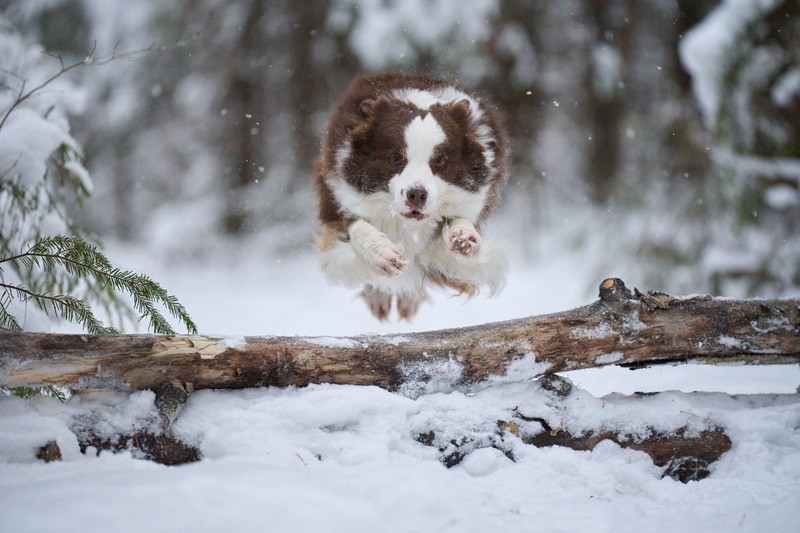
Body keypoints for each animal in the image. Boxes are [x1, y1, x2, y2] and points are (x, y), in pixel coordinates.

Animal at [312, 72, 506, 318]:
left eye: (439, 161)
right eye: (396, 158)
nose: (417, 195)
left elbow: (455, 226)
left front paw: (464, 236)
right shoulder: (336, 201)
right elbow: (356, 226)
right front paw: (383, 252)